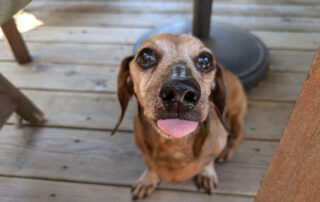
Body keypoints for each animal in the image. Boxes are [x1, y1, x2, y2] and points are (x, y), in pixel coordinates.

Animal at [112, 34, 248, 200]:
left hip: (235, 115)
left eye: (206, 60)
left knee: (238, 135)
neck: (174, 145)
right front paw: (148, 180)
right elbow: (150, 165)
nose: (179, 92)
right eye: (145, 56)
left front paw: (206, 174)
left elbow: (208, 160)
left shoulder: (218, 140)